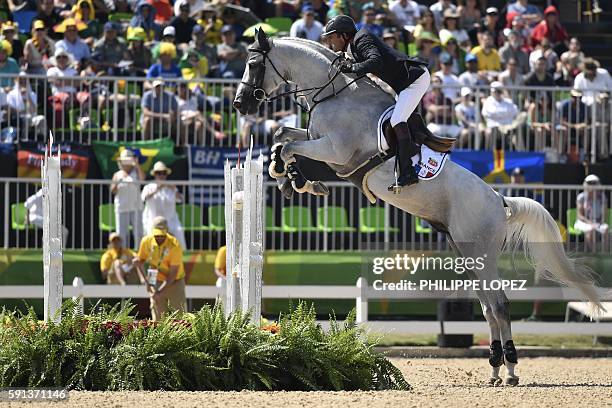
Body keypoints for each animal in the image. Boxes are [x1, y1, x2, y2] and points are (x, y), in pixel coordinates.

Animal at [233, 30, 604, 388]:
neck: (334, 94)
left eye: (253, 64)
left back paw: (511, 370)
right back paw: (495, 370)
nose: (239, 104)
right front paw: (290, 177)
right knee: (488, 308)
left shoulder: (334, 151)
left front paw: (295, 179)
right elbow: (283, 136)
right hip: (468, 253)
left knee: (499, 304)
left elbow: (288, 145)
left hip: (481, 253)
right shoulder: (318, 142)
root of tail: (500, 202)